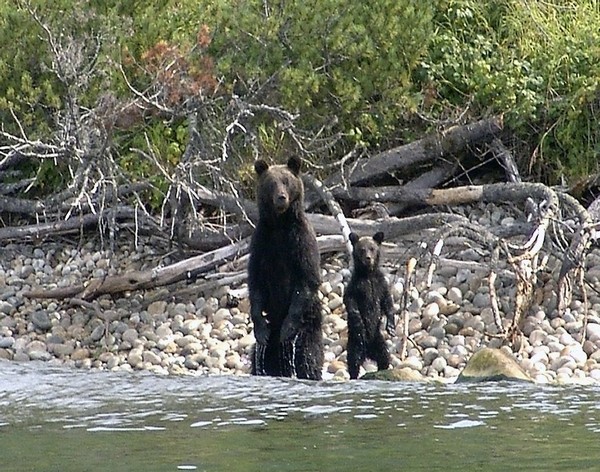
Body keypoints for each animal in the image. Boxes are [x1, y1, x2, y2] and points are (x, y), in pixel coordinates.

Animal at [247, 156, 326, 380]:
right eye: (271, 183)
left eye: (286, 181)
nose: (281, 198)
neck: (280, 224)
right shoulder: (262, 242)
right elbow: (256, 282)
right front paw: (260, 330)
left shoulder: (300, 240)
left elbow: (307, 278)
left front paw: (287, 328)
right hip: (268, 343)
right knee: (259, 357)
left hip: (310, 324)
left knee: (309, 356)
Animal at [344, 232, 396, 380]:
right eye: (362, 249)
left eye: (372, 248)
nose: (368, 258)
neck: (368, 274)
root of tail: (368, 352)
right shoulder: (356, 286)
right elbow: (350, 301)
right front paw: (358, 320)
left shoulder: (381, 285)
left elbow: (387, 302)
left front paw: (391, 327)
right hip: (355, 342)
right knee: (353, 360)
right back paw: (354, 375)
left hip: (378, 339)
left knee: (384, 356)